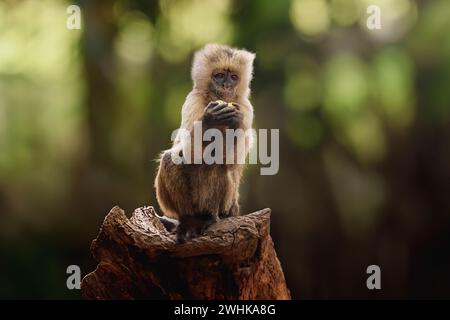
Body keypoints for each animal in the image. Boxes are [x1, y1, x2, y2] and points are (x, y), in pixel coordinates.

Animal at [155, 43, 255, 242]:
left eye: (233, 77)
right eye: (219, 75)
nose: (226, 85)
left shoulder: (246, 108)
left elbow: (231, 163)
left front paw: (234, 121)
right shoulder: (193, 100)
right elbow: (187, 152)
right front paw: (210, 118)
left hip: (225, 203)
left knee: (216, 162)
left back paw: (208, 217)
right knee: (174, 158)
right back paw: (190, 221)